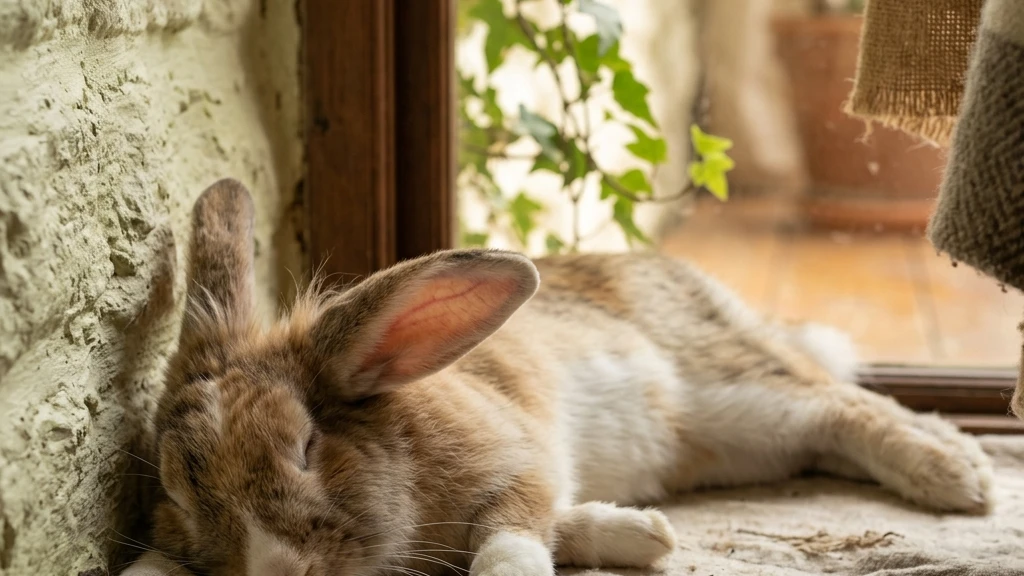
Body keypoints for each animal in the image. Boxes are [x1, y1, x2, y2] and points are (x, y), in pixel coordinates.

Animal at [149, 178, 993, 576]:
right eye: (178, 494)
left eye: (305, 448)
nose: (276, 568)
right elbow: (563, 522)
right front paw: (641, 535)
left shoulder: (522, 460)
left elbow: (512, 536)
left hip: (734, 389)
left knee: (845, 404)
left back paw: (959, 477)